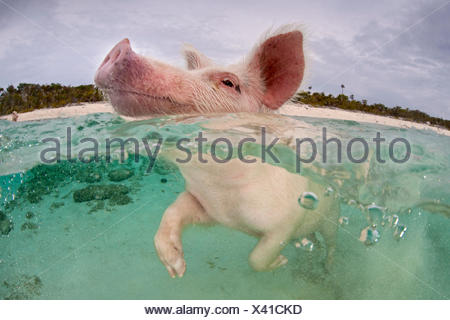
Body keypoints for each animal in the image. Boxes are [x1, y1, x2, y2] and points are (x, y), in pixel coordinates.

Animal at [95, 25, 340, 278]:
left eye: (228, 83)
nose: (122, 46)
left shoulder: (285, 221)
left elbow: (257, 258)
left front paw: (281, 262)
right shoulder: (205, 205)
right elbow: (172, 212)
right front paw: (176, 269)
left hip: (332, 214)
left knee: (331, 243)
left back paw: (328, 269)